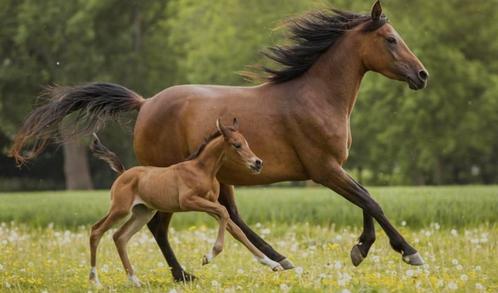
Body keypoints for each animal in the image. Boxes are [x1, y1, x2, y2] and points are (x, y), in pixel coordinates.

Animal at [88, 117, 282, 286]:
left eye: (247, 142)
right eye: (237, 145)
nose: (258, 163)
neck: (202, 170)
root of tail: (123, 173)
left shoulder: (209, 205)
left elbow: (236, 231)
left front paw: (273, 264)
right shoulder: (189, 201)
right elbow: (225, 212)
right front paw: (208, 256)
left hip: (143, 213)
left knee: (119, 237)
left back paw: (135, 281)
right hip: (120, 210)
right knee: (96, 231)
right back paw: (95, 280)